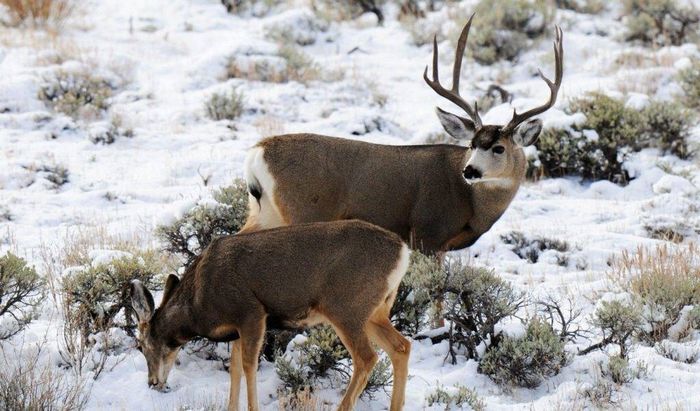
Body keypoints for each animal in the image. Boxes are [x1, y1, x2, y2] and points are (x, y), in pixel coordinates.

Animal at [131, 220, 410, 411]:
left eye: (141, 347)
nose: (152, 382)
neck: (199, 304)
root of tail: (403, 253)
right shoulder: (236, 329)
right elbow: (234, 369)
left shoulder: (251, 312)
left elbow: (248, 366)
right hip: (374, 312)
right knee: (401, 346)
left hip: (346, 308)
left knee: (367, 357)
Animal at [241, 15, 564, 254]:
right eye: (472, 144)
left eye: (498, 147)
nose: (470, 171)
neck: (473, 205)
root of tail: (257, 152)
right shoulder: (427, 232)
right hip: (303, 209)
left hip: (263, 211)